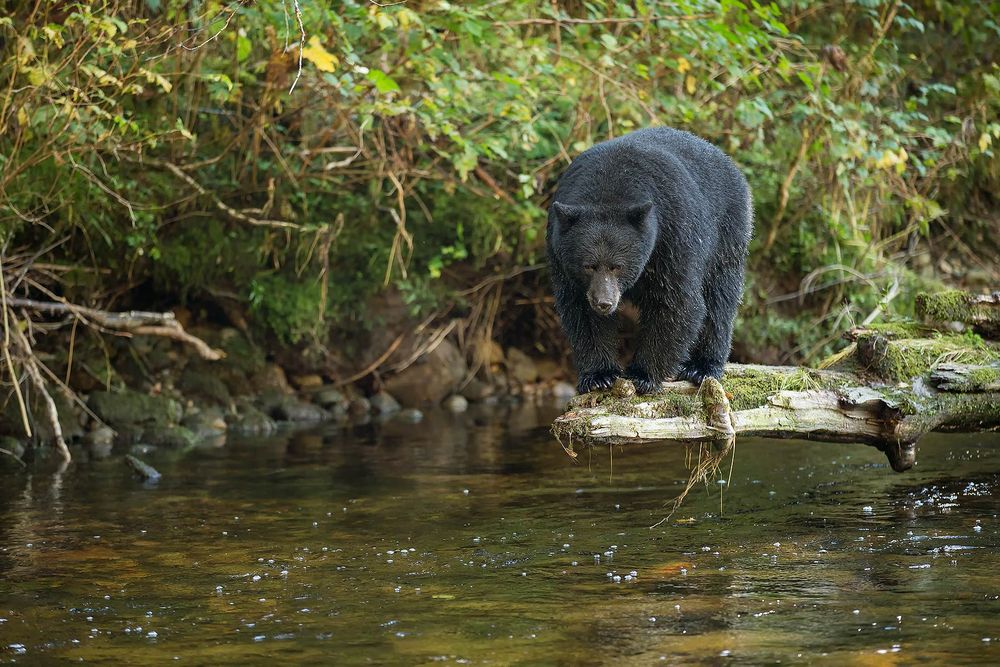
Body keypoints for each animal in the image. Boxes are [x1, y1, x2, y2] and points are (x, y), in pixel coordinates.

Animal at [546, 127, 752, 395]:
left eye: (617, 266)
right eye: (589, 266)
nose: (604, 303)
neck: (608, 189)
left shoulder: (672, 236)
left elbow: (677, 302)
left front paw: (642, 374)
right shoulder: (559, 249)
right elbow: (580, 311)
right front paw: (599, 375)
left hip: (727, 231)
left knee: (720, 297)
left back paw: (702, 366)